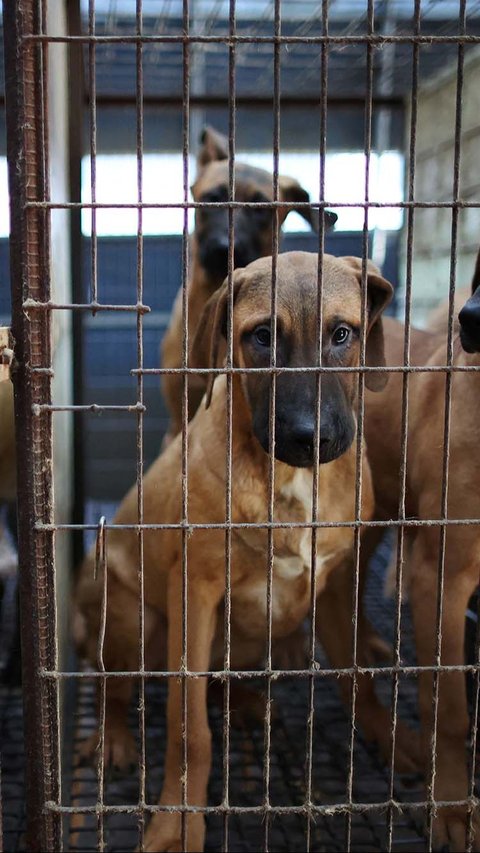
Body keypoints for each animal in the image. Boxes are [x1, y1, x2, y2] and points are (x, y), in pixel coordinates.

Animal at [77, 250, 394, 848]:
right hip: (132, 618)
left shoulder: (338, 584)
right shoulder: (195, 595)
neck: (289, 479)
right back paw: (115, 738)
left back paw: (246, 704)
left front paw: (403, 745)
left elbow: (358, 678)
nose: (309, 437)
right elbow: (190, 729)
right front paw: (177, 822)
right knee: (116, 690)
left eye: (343, 334)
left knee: (226, 685)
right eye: (261, 336)